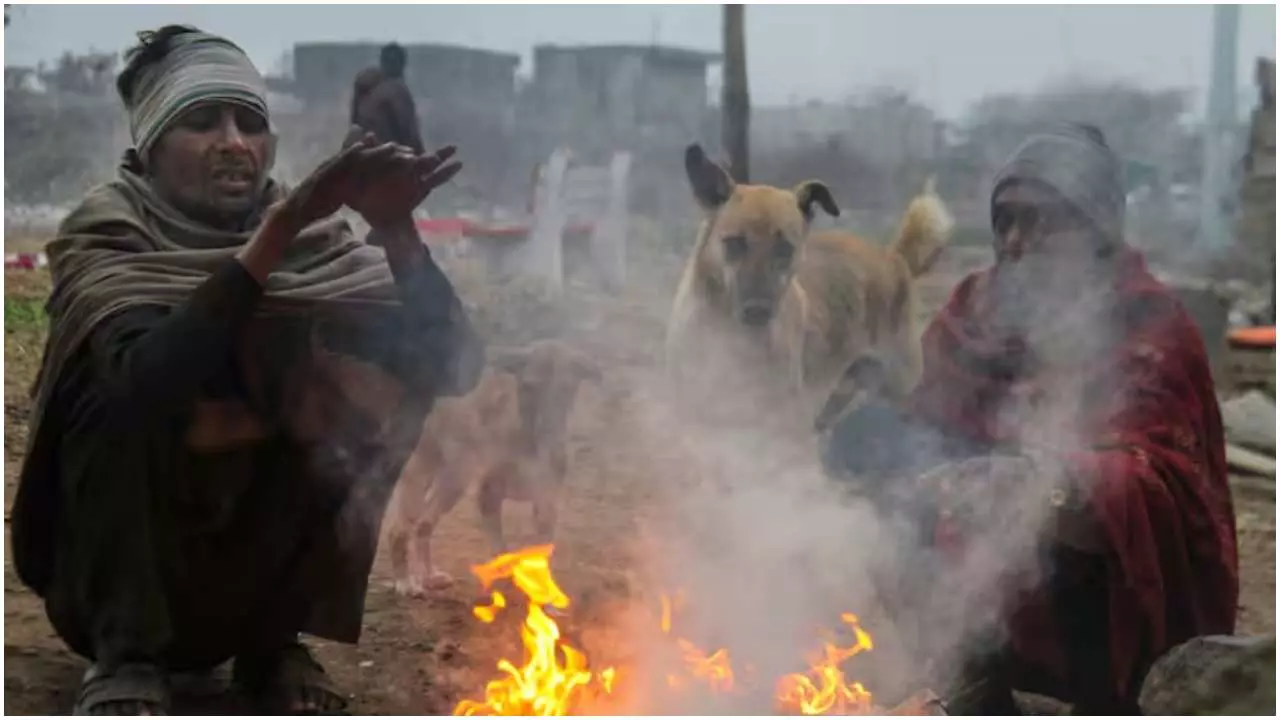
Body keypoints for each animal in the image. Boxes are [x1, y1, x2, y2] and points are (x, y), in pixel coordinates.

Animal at [384, 340, 604, 594]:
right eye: (529, 387)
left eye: (566, 390)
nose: (549, 433)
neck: (527, 436)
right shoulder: (488, 495)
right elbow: (501, 550)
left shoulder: (545, 503)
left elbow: (540, 553)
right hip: (446, 478)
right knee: (408, 528)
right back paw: (405, 582)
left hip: (435, 477)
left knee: (416, 526)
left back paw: (428, 576)